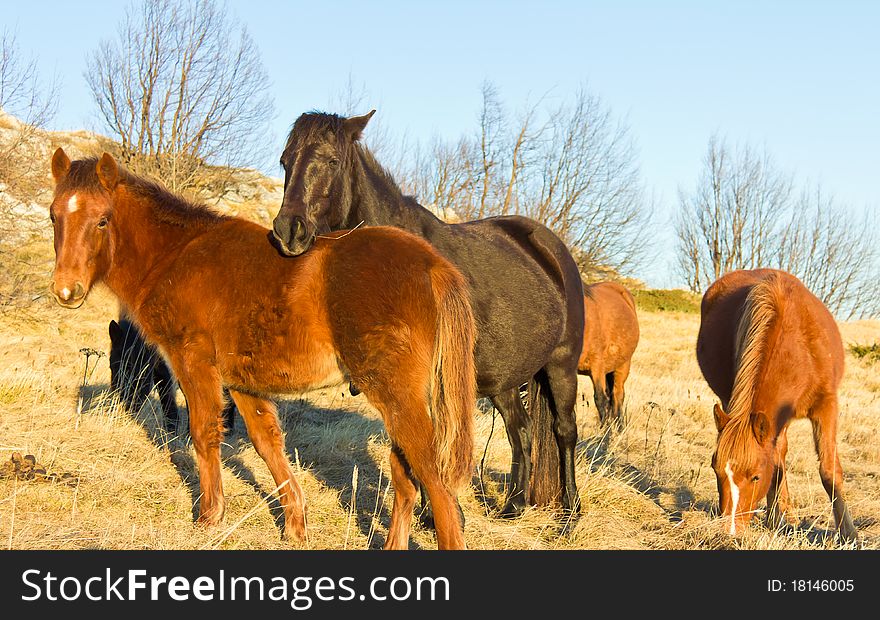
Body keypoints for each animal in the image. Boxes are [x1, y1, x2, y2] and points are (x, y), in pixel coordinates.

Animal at [48, 148, 474, 548]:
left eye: (103, 220)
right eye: (54, 216)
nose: (66, 290)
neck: (176, 255)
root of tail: (433, 265)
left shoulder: (194, 363)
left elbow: (203, 432)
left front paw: (210, 518)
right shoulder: (241, 380)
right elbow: (267, 443)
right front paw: (295, 527)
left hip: (395, 395)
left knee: (433, 476)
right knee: (405, 476)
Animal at [268, 110, 584, 512]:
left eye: (332, 161)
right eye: (285, 161)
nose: (288, 231)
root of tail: (551, 248)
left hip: (562, 365)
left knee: (564, 431)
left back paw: (570, 510)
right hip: (504, 379)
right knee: (521, 430)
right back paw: (513, 506)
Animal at [576, 282, 640, 432]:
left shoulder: (597, 365)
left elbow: (600, 398)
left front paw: (604, 431)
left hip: (622, 366)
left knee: (617, 395)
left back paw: (619, 428)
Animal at [696, 268, 856, 540]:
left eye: (756, 477)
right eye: (716, 471)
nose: (730, 530)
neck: (797, 348)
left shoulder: (826, 406)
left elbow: (829, 471)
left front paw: (849, 533)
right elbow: (778, 465)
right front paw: (776, 517)